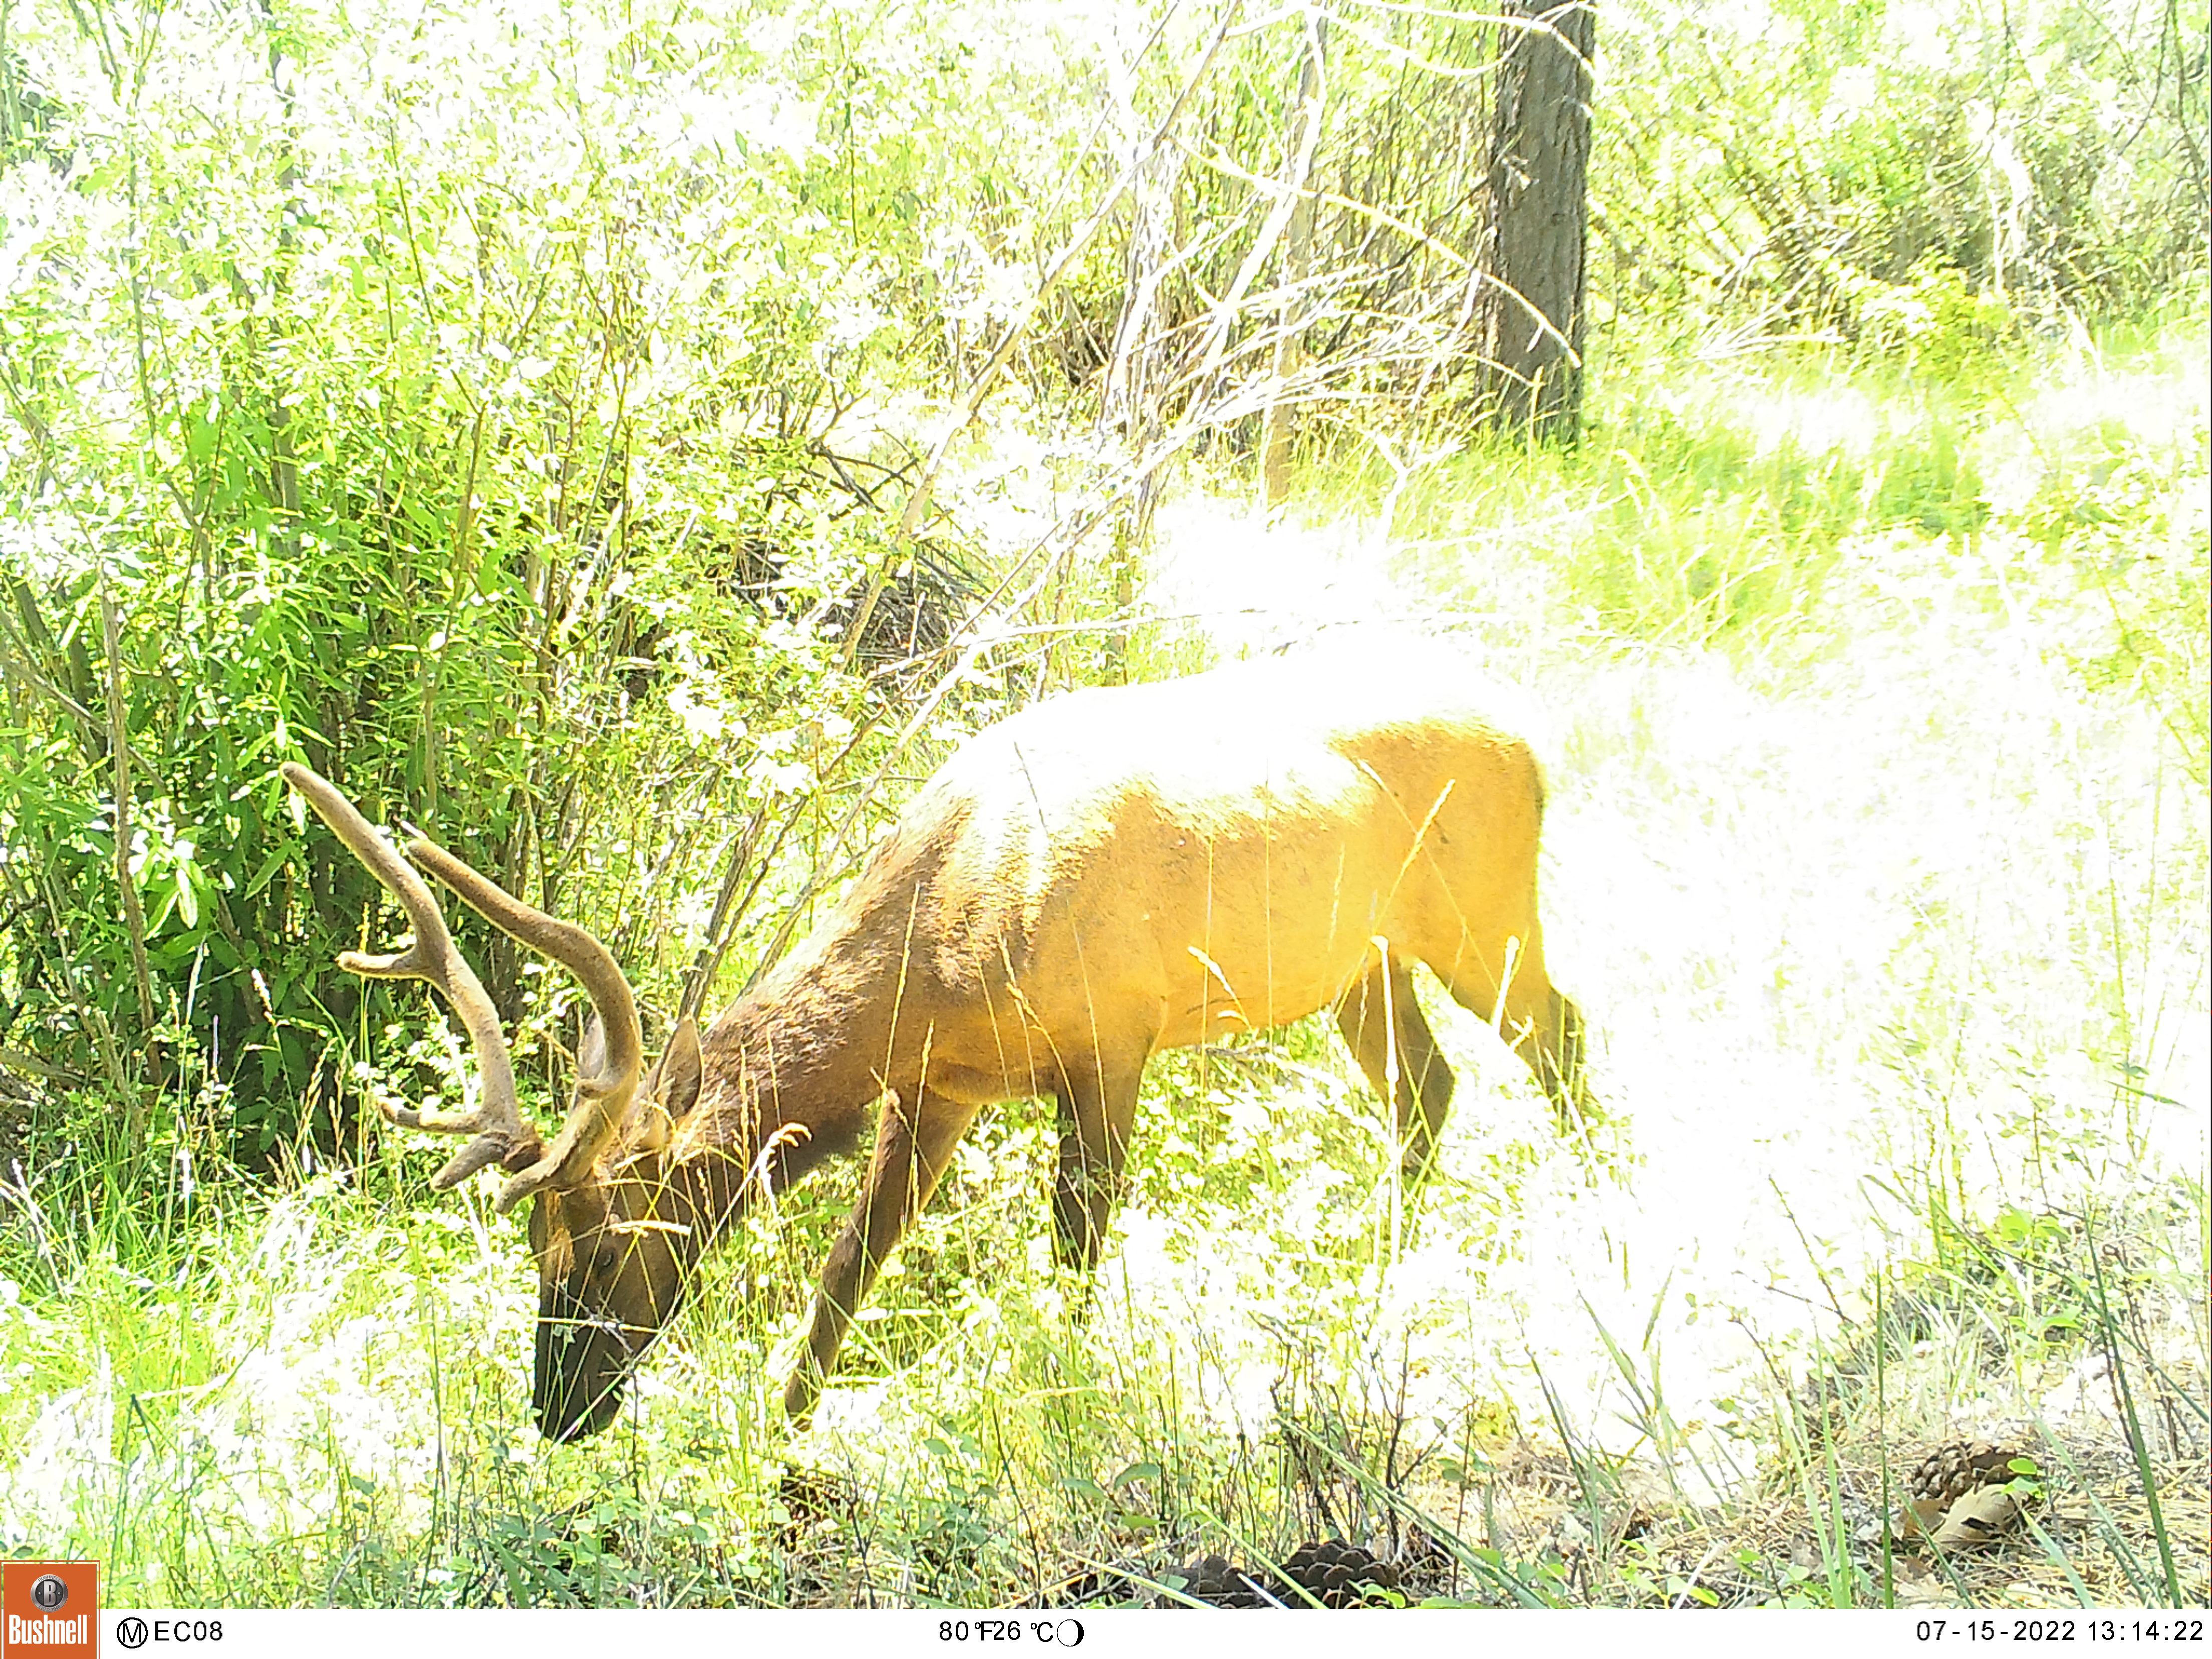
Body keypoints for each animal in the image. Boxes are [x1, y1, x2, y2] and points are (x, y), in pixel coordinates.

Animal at [283, 651, 1593, 1441]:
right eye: (533, 1248)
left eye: (608, 1251)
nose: (555, 1414)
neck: (957, 935)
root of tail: (1536, 746)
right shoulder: (937, 1090)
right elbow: (847, 1271)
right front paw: (782, 1436)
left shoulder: (1112, 1039)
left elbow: (1071, 1250)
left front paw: (1062, 1399)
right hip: (1360, 966)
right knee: (1428, 1092)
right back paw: (1381, 1279)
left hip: (1484, 919)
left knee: (1562, 1038)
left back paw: (1602, 1225)